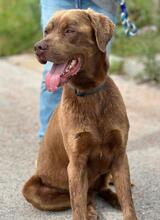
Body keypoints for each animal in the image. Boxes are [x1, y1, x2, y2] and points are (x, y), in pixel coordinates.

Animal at [22, 9, 138, 220]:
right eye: (46, 31)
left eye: (69, 30)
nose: (38, 47)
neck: (90, 93)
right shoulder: (76, 163)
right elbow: (77, 203)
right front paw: (85, 210)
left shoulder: (119, 155)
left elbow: (128, 200)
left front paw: (124, 203)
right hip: (32, 188)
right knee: (84, 196)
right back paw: (91, 210)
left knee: (100, 189)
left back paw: (113, 198)